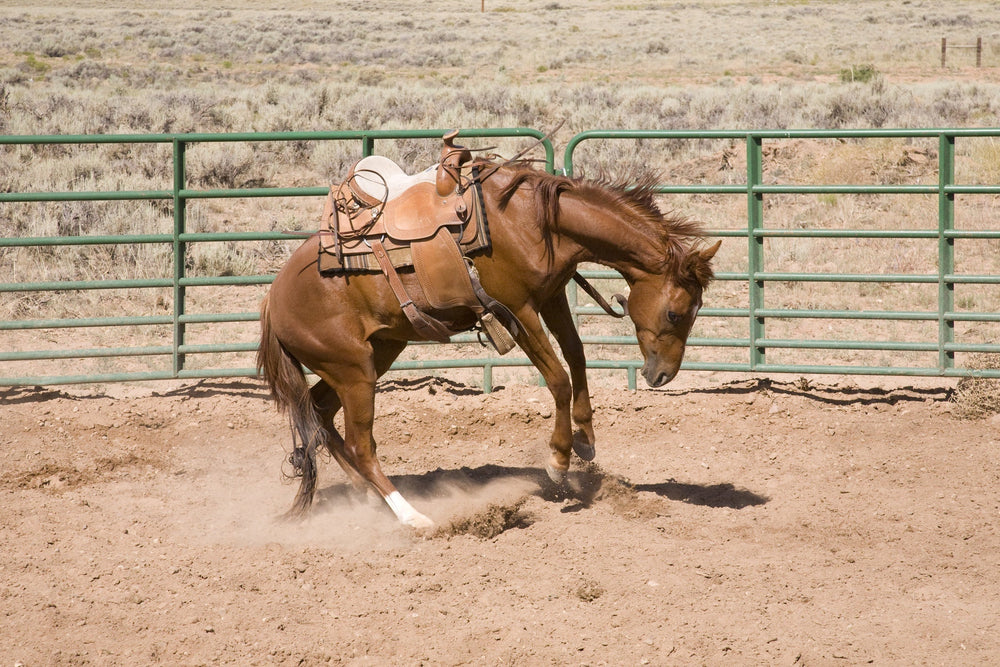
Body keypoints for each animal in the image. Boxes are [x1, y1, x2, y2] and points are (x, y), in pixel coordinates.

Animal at [257, 160, 720, 528]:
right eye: (676, 313)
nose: (662, 375)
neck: (536, 222)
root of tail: (274, 299)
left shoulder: (551, 296)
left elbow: (577, 356)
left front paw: (586, 439)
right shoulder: (517, 310)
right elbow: (558, 378)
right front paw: (558, 460)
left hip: (374, 355)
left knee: (321, 414)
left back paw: (368, 498)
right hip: (355, 372)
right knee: (359, 443)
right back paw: (412, 517)